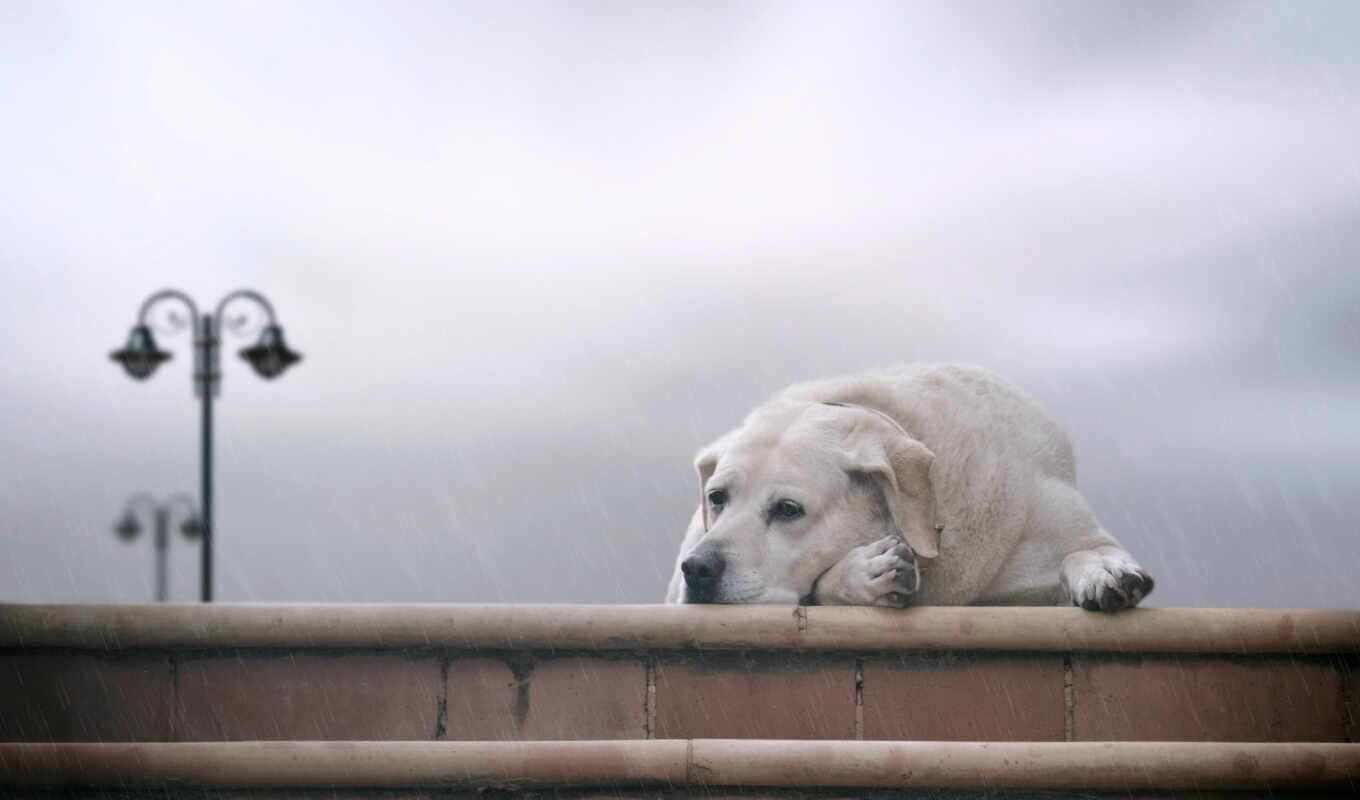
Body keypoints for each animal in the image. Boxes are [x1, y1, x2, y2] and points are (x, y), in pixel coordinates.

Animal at [663, 364, 1153, 612]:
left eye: (788, 509)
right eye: (717, 498)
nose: (698, 569)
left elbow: (1083, 549)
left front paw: (1105, 571)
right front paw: (866, 573)